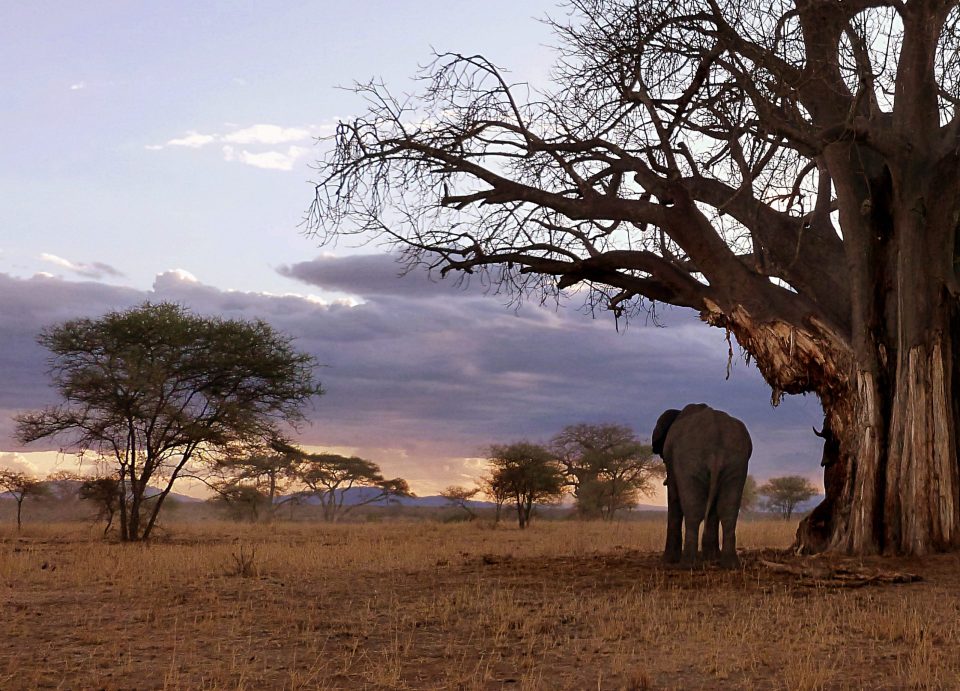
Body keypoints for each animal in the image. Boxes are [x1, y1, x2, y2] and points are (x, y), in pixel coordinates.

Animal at [652, 403, 752, 569]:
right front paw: (710, 558)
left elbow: (673, 497)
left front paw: (667, 560)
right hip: (737, 462)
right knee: (728, 510)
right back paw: (730, 564)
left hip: (689, 460)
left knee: (693, 511)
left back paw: (687, 565)